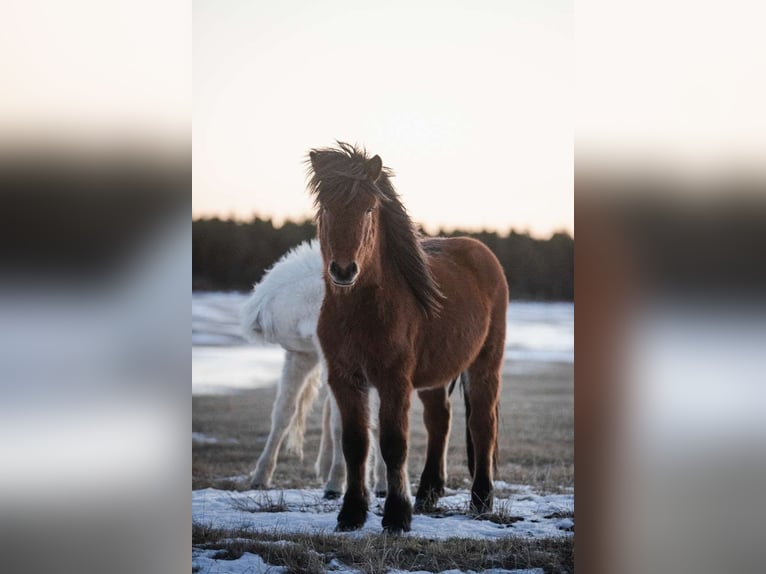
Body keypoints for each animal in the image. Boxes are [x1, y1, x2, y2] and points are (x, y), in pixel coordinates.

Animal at [308, 142, 508, 533]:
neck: (363, 309)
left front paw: (397, 516)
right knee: (439, 421)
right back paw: (429, 493)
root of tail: (484, 255)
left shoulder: (394, 380)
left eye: (369, 208)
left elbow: (393, 444)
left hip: (485, 365)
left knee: (482, 425)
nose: (344, 270)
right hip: (436, 376)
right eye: (326, 208)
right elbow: (356, 443)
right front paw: (351, 513)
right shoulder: (344, 379)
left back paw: (481, 500)